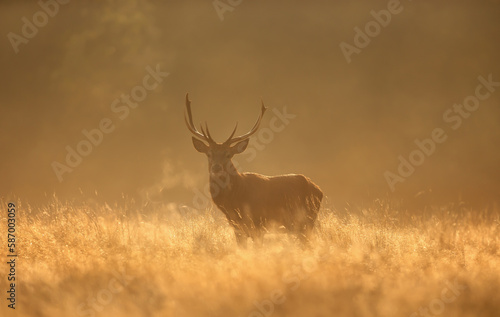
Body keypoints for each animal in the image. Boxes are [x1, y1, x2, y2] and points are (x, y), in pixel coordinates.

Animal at [185, 92, 324, 246]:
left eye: (228, 154)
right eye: (209, 154)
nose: (216, 167)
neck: (236, 198)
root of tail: (318, 190)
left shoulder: (259, 225)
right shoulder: (237, 228)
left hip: (306, 221)